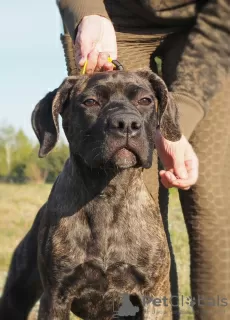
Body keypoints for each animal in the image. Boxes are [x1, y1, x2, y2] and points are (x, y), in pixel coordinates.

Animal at [0, 70, 181, 320]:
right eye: (90, 102)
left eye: (145, 100)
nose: (126, 123)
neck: (107, 193)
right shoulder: (55, 297)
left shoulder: (153, 296)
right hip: (16, 296)